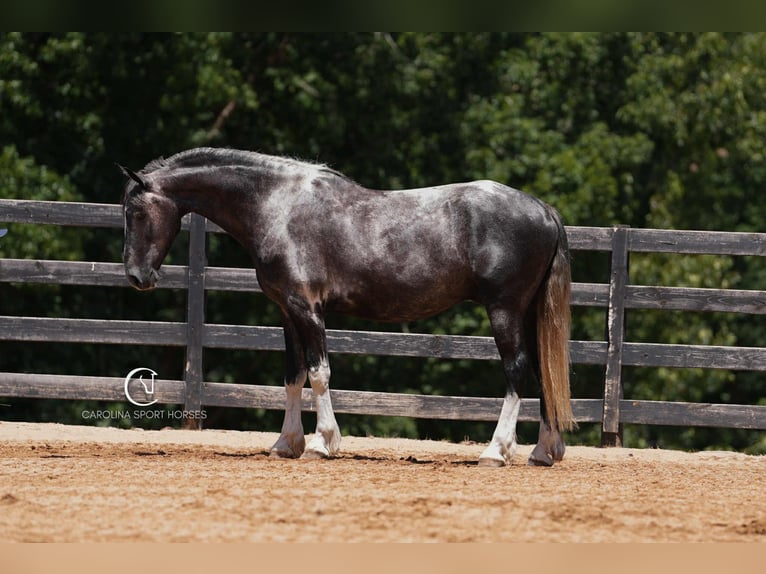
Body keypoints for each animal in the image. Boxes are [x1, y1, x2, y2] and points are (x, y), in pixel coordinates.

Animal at [119, 147, 574, 466]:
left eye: (136, 212)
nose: (137, 277)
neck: (277, 206)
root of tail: (544, 210)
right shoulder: (287, 312)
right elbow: (293, 376)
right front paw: (286, 443)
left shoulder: (308, 309)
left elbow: (319, 374)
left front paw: (322, 443)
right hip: (526, 313)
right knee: (542, 370)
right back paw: (544, 452)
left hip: (504, 310)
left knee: (517, 371)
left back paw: (496, 451)